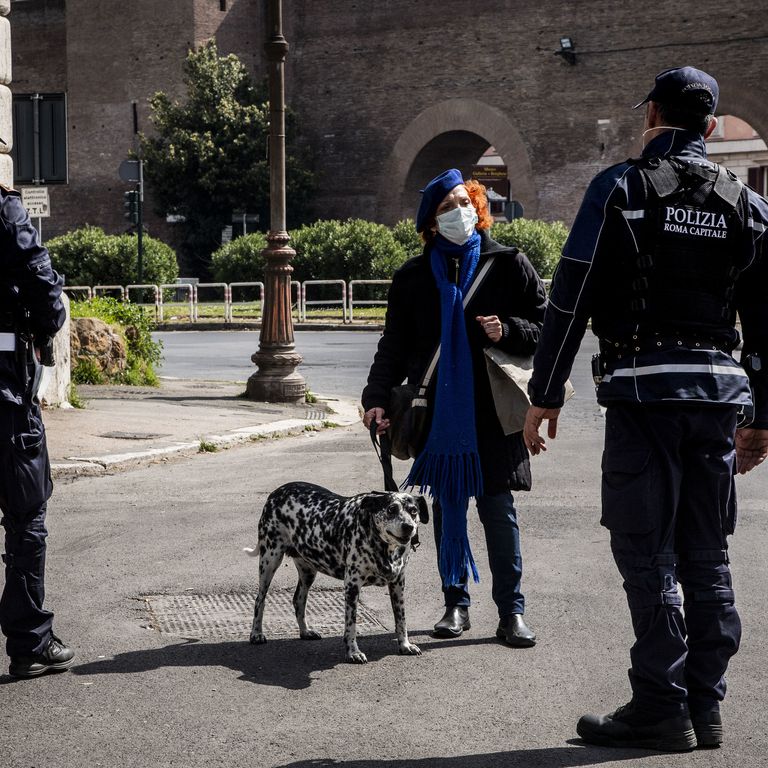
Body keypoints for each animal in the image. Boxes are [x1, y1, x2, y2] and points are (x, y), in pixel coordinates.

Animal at [246, 484, 428, 664]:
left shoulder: (398, 584)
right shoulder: (352, 586)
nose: (408, 527)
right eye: (391, 509)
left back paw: (305, 631)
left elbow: (401, 619)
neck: (382, 546)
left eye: (413, 511)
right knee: (259, 600)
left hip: (307, 572)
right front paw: (353, 652)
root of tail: (277, 492)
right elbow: (351, 626)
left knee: (298, 600)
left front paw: (405, 645)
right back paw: (256, 633)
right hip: (270, 561)